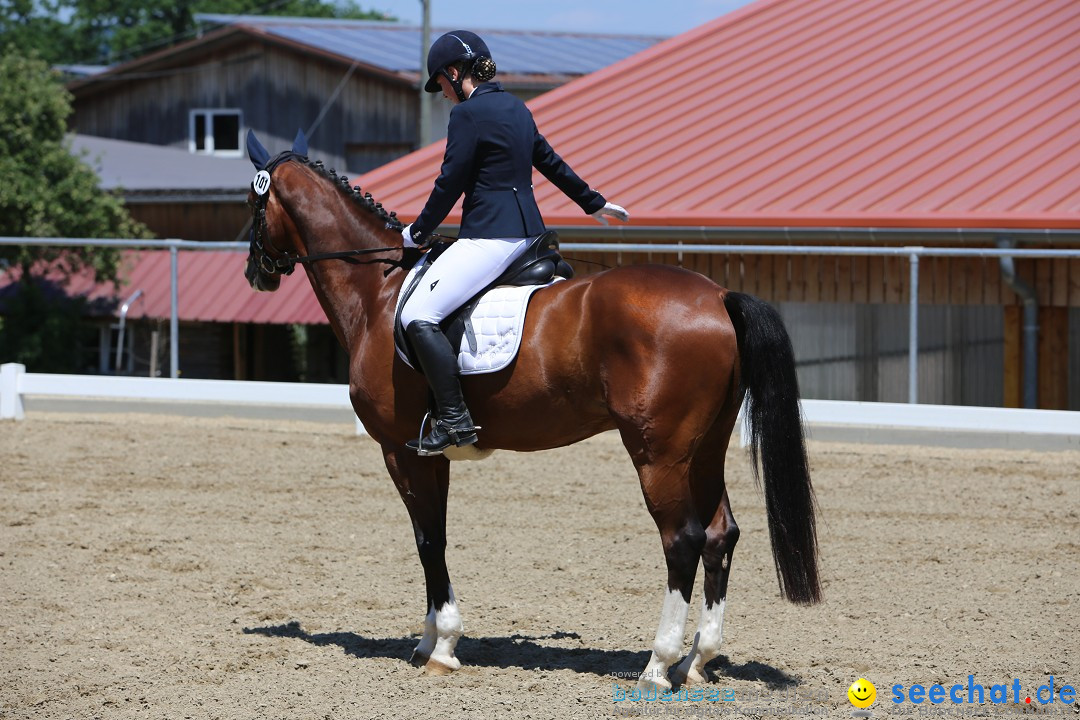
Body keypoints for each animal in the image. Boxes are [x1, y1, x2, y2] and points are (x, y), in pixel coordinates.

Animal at [243, 132, 816, 690]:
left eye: (254, 203)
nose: (256, 274)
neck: (379, 292)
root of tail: (718, 297)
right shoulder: (432, 455)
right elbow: (437, 536)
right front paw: (430, 641)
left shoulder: (401, 452)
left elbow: (428, 539)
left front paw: (442, 647)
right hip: (705, 448)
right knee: (721, 534)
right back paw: (696, 662)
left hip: (660, 453)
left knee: (684, 540)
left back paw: (657, 666)